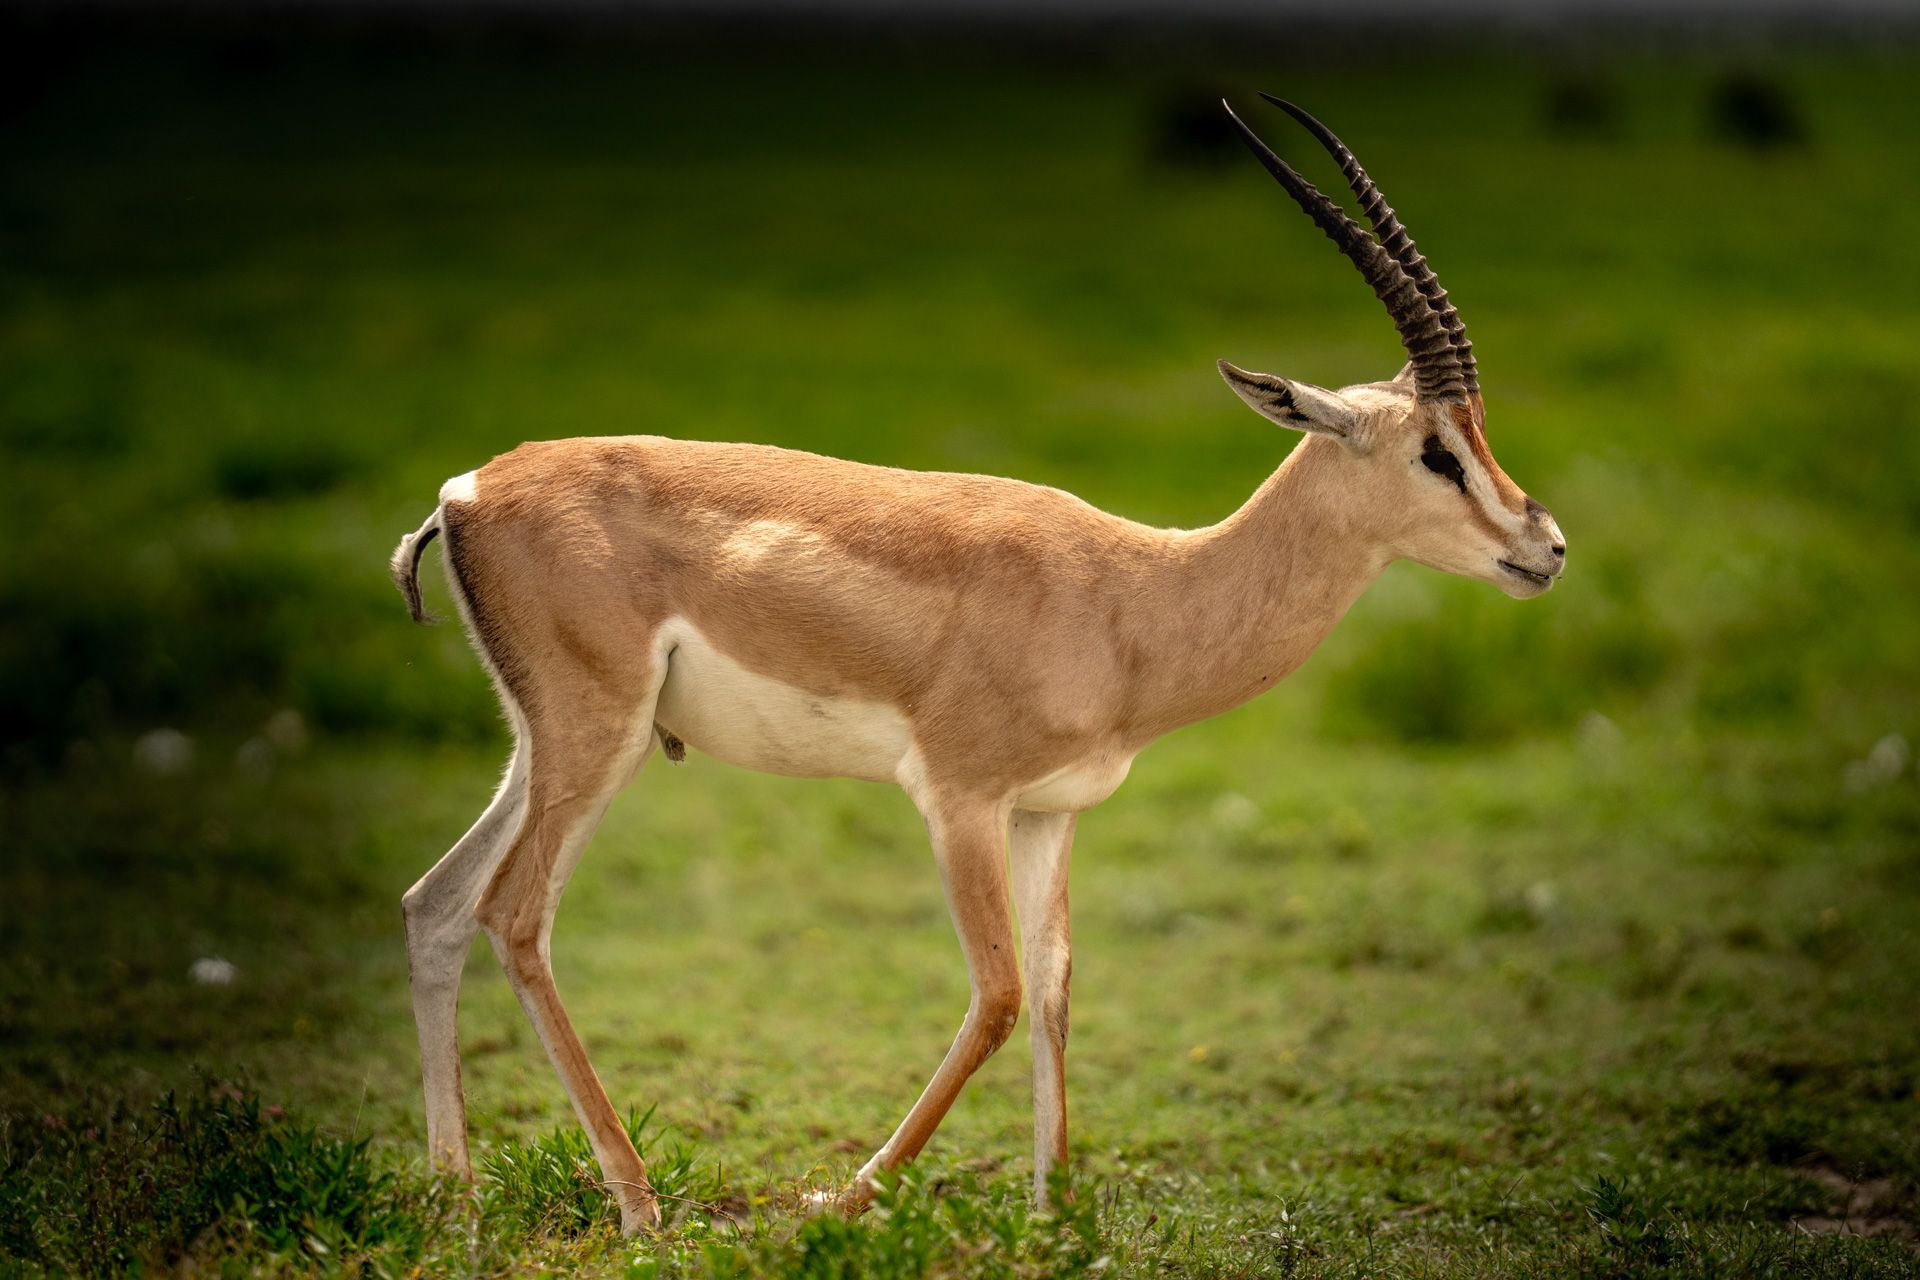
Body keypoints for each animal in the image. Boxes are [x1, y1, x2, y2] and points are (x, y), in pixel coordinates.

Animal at [390, 96, 1565, 1233]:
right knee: (516, 917)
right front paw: (834, 1201)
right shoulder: (959, 798)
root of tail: (465, 491)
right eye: (1436, 451)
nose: (1544, 545)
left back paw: (455, 1198)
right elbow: (996, 995)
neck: (1136, 594)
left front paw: (1052, 1217)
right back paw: (636, 1206)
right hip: (599, 741)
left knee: (435, 903)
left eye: (1477, 431)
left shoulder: (1051, 810)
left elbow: (1052, 988)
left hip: (547, 746)